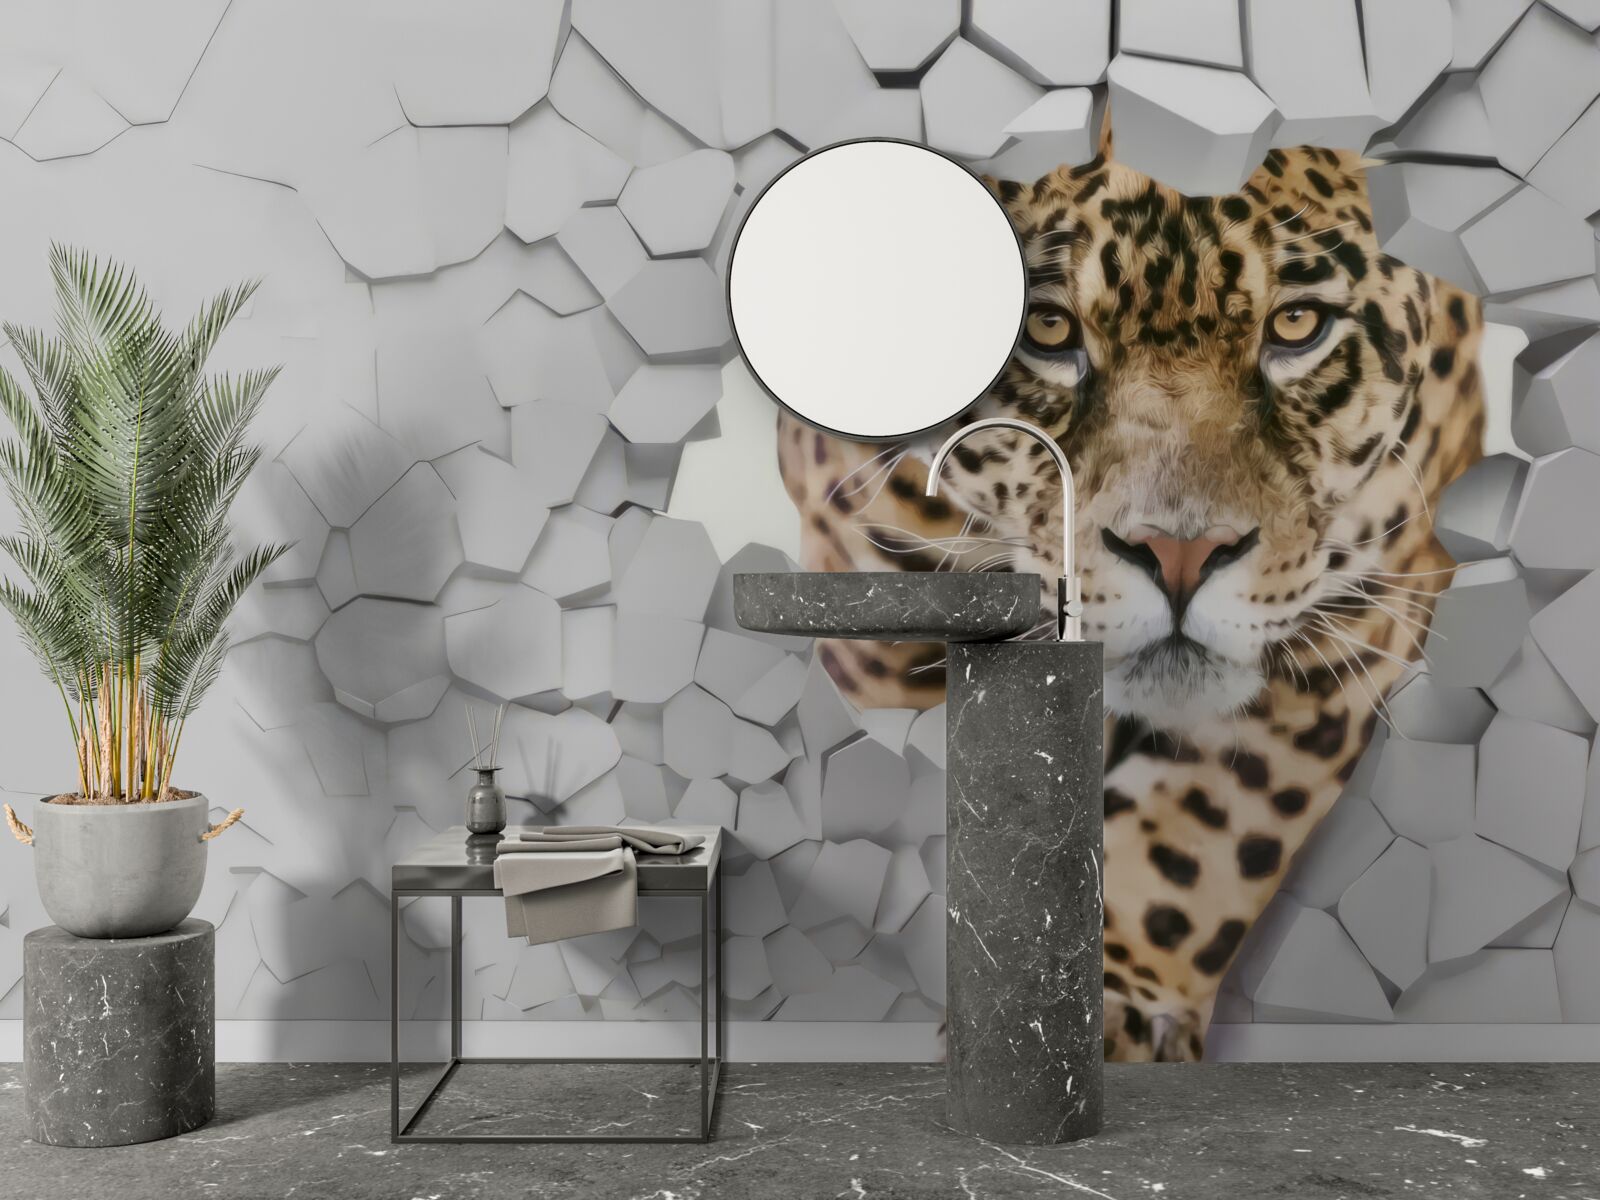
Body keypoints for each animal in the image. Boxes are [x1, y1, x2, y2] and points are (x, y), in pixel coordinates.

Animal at [775, 131, 1486, 1061]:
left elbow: (1210, 821)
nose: (1180, 554)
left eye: (1297, 326)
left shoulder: (1366, 600)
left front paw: (1102, 996)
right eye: (1047, 330)